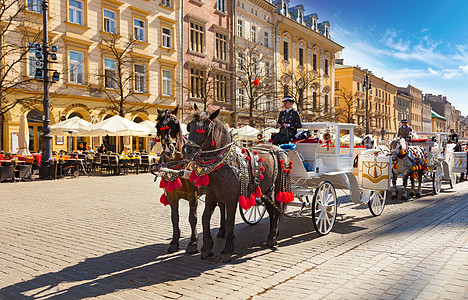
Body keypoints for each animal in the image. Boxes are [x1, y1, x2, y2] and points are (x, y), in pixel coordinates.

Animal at [154, 106, 226, 254]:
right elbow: (174, 218)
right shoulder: (172, 196)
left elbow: (193, 218)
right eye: (158, 126)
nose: (169, 150)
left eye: (175, 123)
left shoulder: (193, 195)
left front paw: (193, 242)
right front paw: (174, 241)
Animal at [183, 106, 288, 262]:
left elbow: (229, 221)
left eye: (205, 129)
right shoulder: (211, 195)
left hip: (278, 187)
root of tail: (279, 149)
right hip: (265, 189)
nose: (187, 150)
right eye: (190, 126)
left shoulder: (231, 198)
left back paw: (273, 237)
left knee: (277, 209)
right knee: (272, 210)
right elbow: (205, 218)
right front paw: (207, 248)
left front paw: (227, 250)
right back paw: (272, 236)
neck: (224, 164)